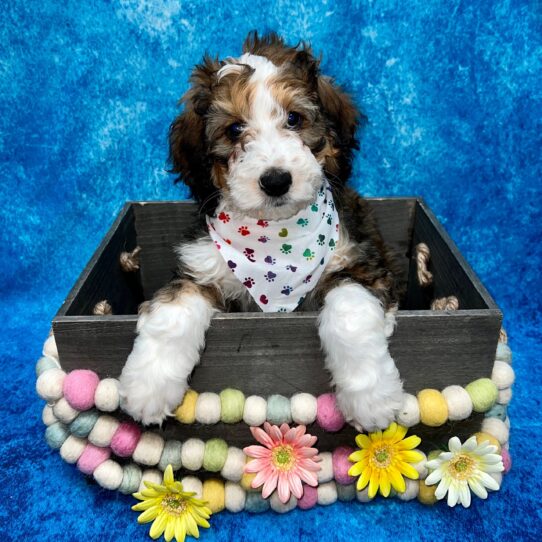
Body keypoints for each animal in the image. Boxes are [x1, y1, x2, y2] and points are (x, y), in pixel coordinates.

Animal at [120, 33, 408, 434]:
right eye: (234, 130)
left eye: (294, 118)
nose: (275, 180)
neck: (276, 238)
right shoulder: (200, 270)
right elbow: (171, 313)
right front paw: (148, 386)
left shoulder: (362, 262)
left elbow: (350, 315)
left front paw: (372, 397)